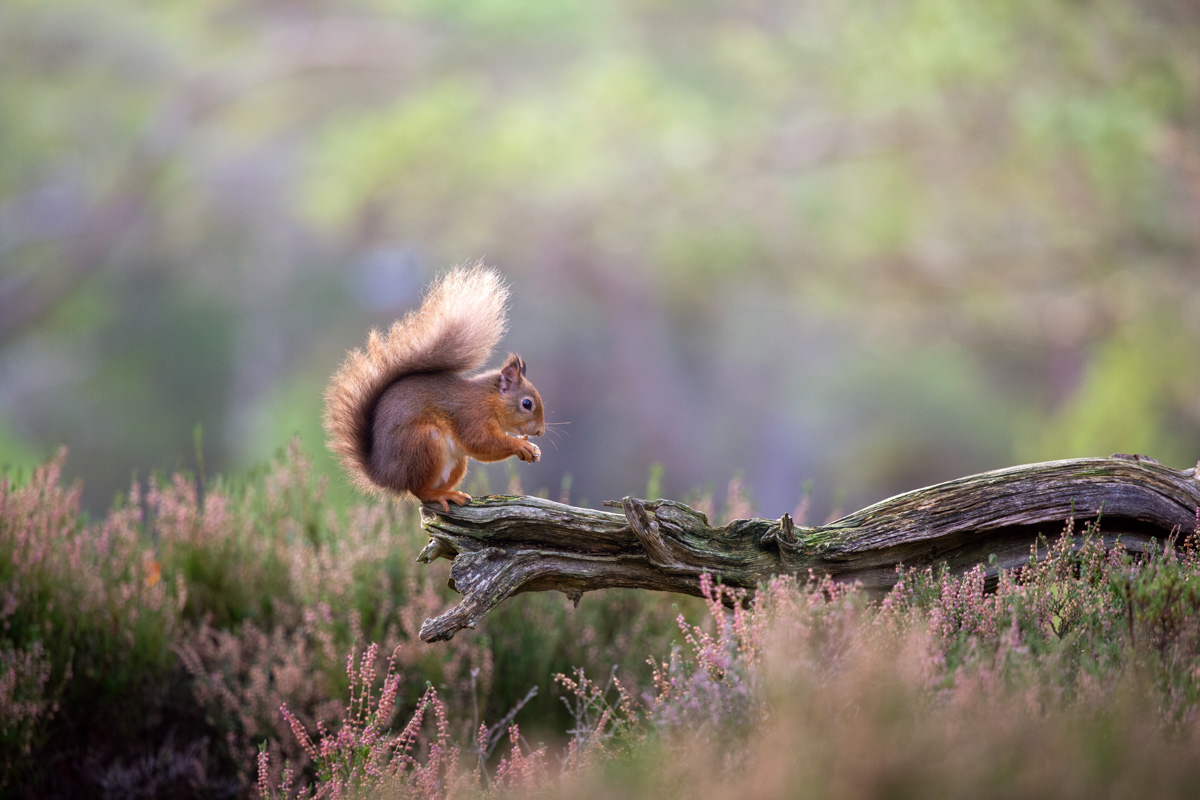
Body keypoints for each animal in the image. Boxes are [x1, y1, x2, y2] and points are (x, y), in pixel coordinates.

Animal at [323, 264, 545, 510]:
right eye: (527, 404)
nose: (540, 432)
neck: (488, 400)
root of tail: (386, 476)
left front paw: (530, 447)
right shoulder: (471, 416)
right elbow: (481, 443)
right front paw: (520, 445)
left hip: (456, 462)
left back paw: (451, 492)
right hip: (426, 441)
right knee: (420, 491)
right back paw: (442, 495)